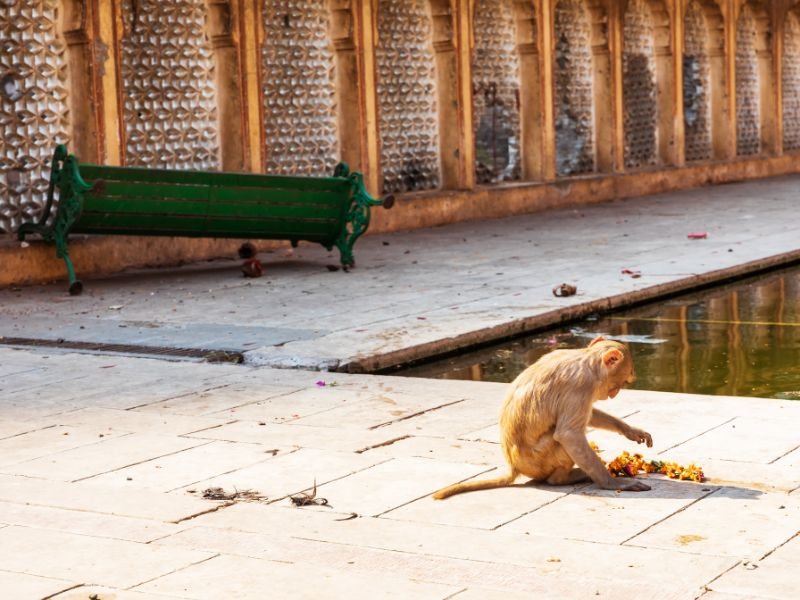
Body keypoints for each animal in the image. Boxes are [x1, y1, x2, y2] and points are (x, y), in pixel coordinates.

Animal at [432, 336, 653, 499]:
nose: (613, 394)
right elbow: (568, 434)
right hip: (539, 460)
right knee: (559, 440)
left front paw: (630, 430)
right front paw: (613, 483)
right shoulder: (581, 386)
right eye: (623, 382)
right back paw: (563, 479)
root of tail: (513, 465)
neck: (585, 359)